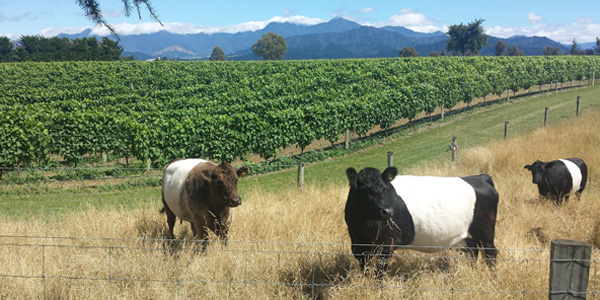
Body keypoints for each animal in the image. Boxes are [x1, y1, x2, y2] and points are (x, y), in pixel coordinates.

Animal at [344, 166, 500, 274]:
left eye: (384, 189)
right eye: (364, 190)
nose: (387, 211)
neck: (360, 228)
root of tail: (481, 177)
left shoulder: (387, 244)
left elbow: (379, 272)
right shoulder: (359, 248)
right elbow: (365, 270)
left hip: (485, 232)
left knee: (490, 253)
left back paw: (492, 279)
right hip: (467, 236)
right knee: (473, 251)